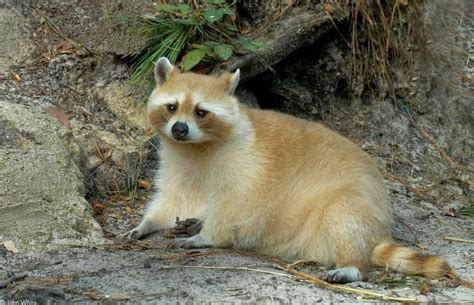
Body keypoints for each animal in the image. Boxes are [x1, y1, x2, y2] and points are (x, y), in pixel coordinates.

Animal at [123, 57, 456, 282]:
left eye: (201, 112)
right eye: (171, 107)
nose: (179, 129)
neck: (197, 147)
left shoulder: (244, 165)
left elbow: (232, 207)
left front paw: (206, 236)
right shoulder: (178, 162)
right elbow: (172, 200)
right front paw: (148, 223)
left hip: (354, 200)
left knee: (345, 218)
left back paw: (352, 264)